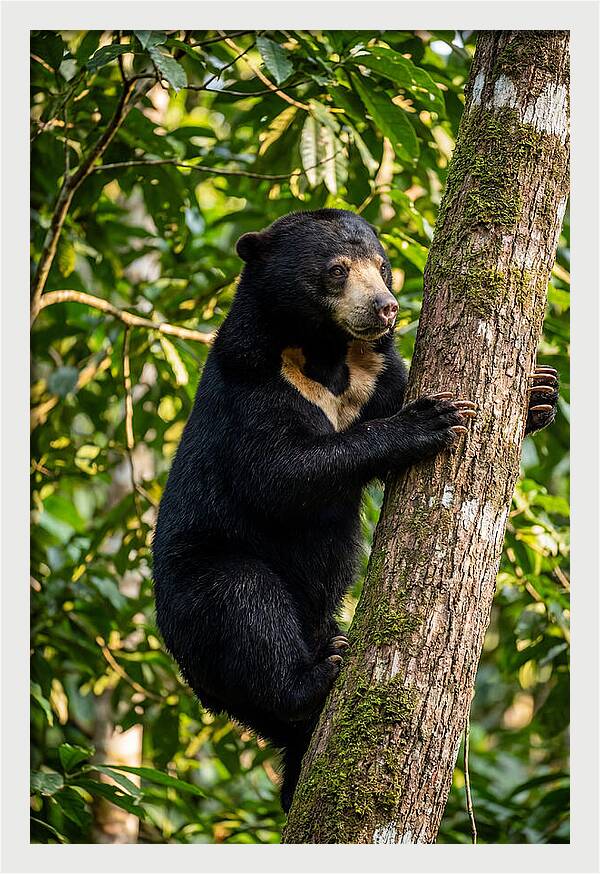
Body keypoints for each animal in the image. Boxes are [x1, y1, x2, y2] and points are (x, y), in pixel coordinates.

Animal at [152, 208, 558, 812]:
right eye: (338, 270)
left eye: (384, 267)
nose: (386, 307)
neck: (326, 354)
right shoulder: (252, 381)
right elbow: (278, 474)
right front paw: (430, 420)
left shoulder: (375, 373)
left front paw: (538, 393)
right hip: (198, 587)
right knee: (243, 603)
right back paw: (321, 672)